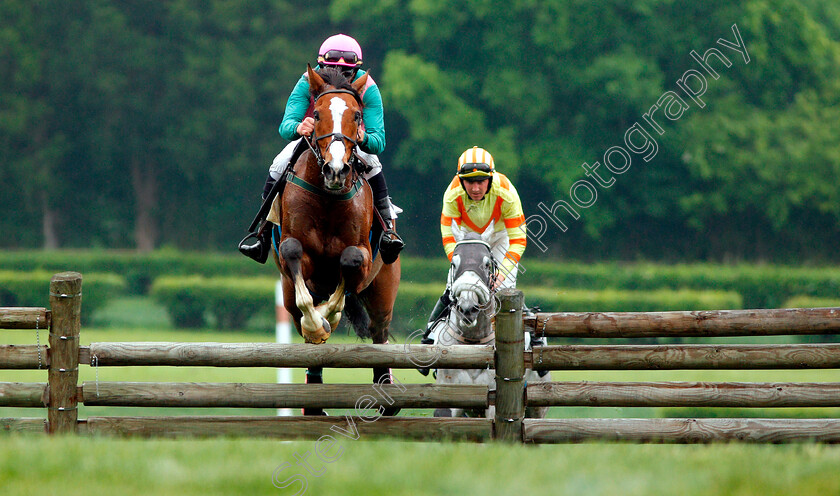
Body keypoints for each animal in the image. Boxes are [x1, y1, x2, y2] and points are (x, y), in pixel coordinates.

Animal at [270, 65, 400, 414]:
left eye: (357, 115)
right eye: (316, 114)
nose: (336, 169)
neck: (328, 196)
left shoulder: (363, 256)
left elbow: (349, 263)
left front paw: (329, 316)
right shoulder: (295, 255)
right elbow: (295, 259)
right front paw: (318, 325)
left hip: (383, 291)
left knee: (379, 334)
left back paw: (386, 394)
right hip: (286, 293)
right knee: (302, 324)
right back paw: (313, 397)